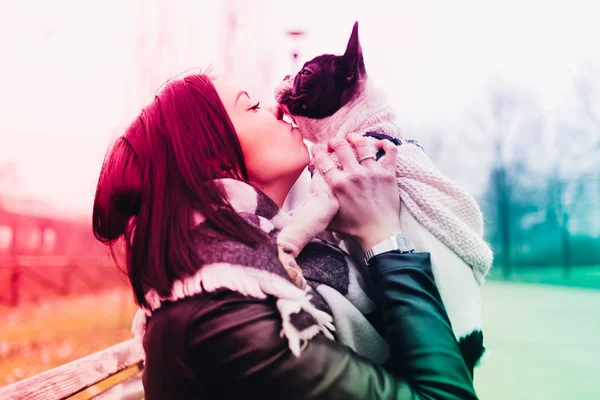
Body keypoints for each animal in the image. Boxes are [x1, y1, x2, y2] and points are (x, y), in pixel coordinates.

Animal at [276, 22, 492, 372]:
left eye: (306, 73)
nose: (285, 74)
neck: (359, 126)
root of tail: (471, 344)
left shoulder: (324, 202)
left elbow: (293, 231)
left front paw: (283, 257)